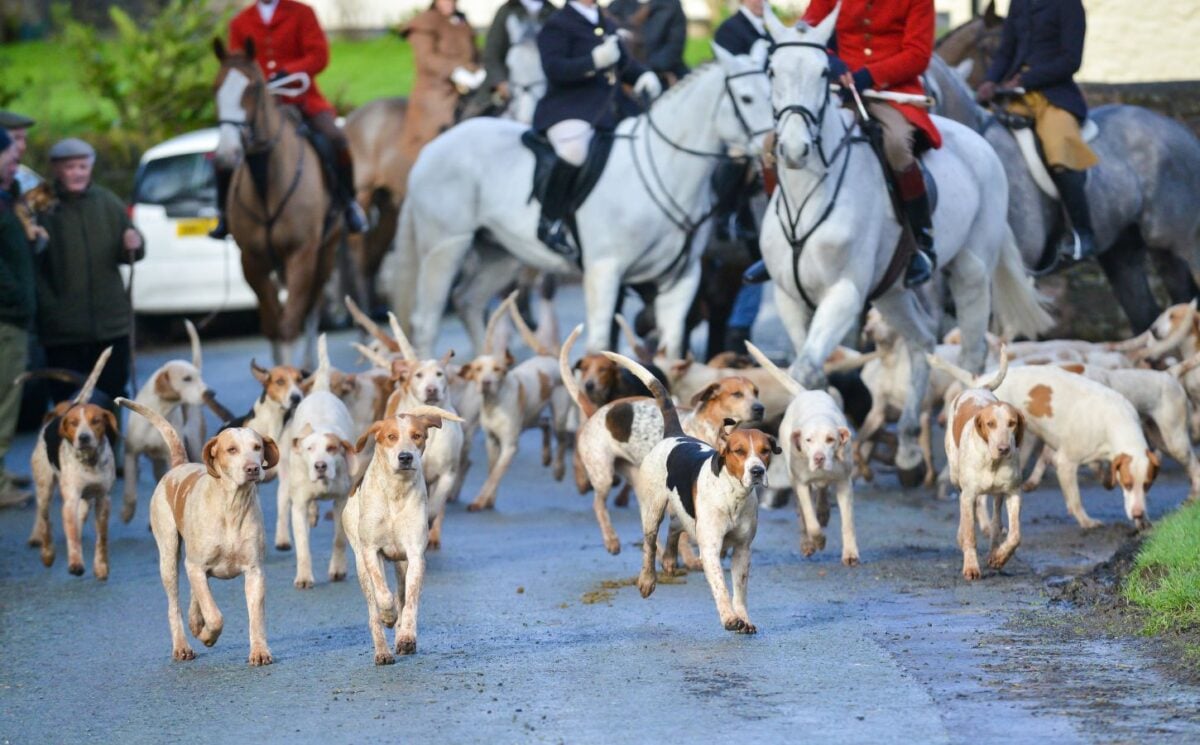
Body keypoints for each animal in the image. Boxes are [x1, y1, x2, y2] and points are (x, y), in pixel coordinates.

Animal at [212, 39, 338, 367]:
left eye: (254, 87)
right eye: (215, 87)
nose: (227, 155)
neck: (266, 182)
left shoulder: (301, 254)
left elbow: (290, 323)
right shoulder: (252, 261)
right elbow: (272, 325)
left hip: (326, 252)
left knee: (311, 309)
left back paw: (310, 366)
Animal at [396, 44, 777, 357]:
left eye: (772, 94)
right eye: (746, 99)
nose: (774, 147)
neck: (667, 166)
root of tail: (433, 146)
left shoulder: (680, 279)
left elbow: (670, 352)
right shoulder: (604, 271)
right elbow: (600, 345)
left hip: (499, 254)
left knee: (469, 303)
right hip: (445, 248)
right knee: (426, 321)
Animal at [758, 8, 1051, 477]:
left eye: (823, 72)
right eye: (772, 70)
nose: (795, 149)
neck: (808, 192)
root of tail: (980, 142)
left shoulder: (844, 294)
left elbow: (804, 368)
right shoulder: (790, 298)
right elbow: (806, 372)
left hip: (970, 271)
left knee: (970, 356)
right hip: (891, 293)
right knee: (922, 342)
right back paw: (911, 447)